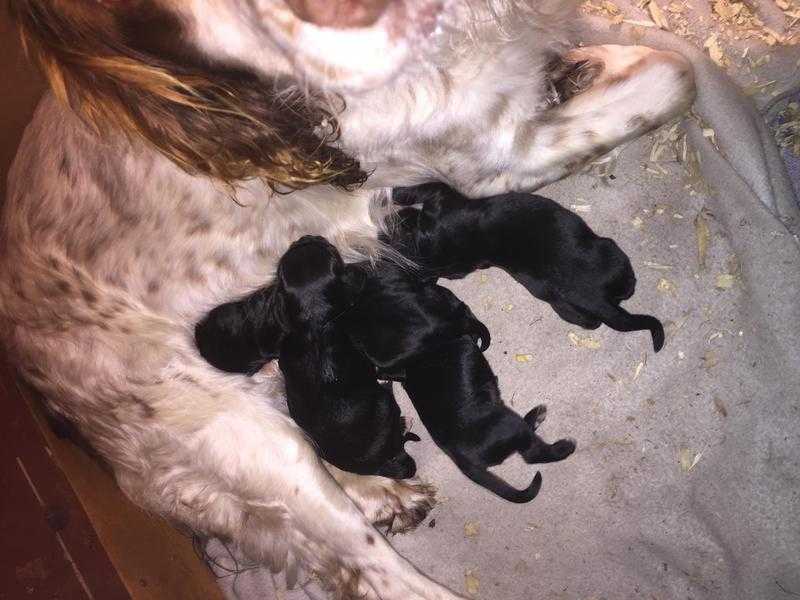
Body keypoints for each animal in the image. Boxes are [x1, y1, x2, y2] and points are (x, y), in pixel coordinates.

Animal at [344, 262, 576, 502]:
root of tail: (462, 459)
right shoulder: (453, 309)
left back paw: (535, 417)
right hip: (511, 425)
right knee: (531, 453)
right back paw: (562, 445)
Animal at [386, 183, 664, 352]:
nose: (425, 279)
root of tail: (598, 299)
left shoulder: (443, 198)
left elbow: (429, 186)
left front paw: (398, 193)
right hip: (588, 278)